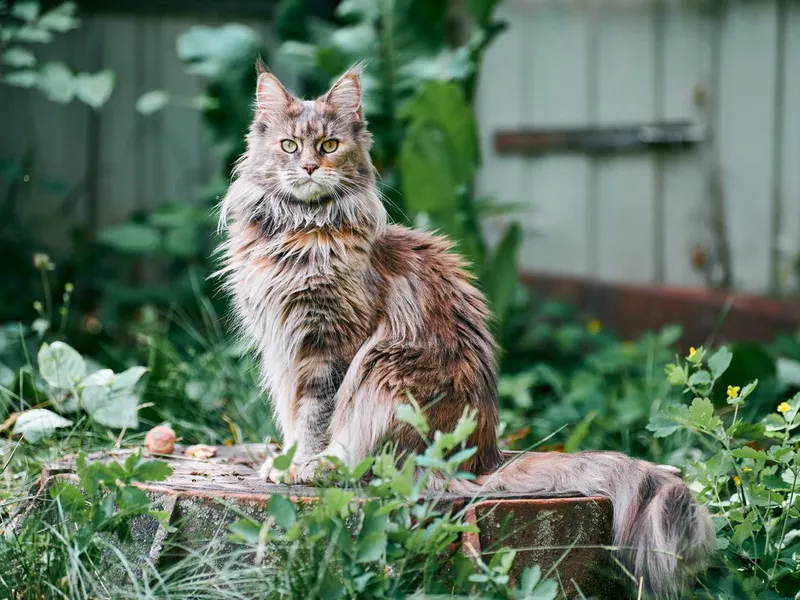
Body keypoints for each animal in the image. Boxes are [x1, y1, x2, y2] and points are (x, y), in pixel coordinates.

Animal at [216, 63, 716, 592]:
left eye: (329, 145)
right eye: (290, 146)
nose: (311, 167)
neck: (298, 232)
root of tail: (487, 456)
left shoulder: (330, 348)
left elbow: (316, 417)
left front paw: (306, 468)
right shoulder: (284, 349)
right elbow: (295, 419)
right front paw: (285, 463)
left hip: (383, 371)